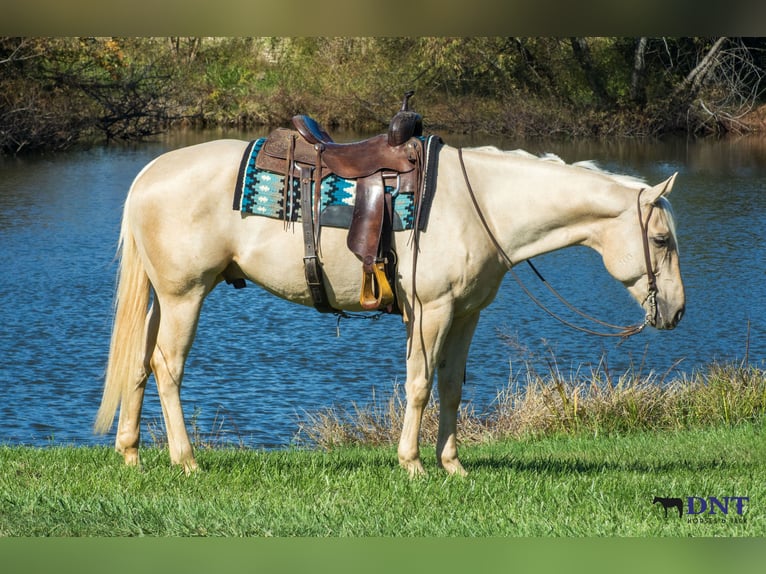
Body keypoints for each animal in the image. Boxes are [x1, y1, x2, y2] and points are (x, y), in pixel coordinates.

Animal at [94, 139, 685, 476]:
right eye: (662, 241)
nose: (677, 312)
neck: (481, 204)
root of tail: (149, 173)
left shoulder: (466, 313)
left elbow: (451, 387)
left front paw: (453, 466)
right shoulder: (431, 310)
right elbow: (419, 385)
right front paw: (413, 464)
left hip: (161, 298)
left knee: (139, 363)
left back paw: (131, 453)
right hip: (185, 296)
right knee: (167, 367)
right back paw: (186, 461)